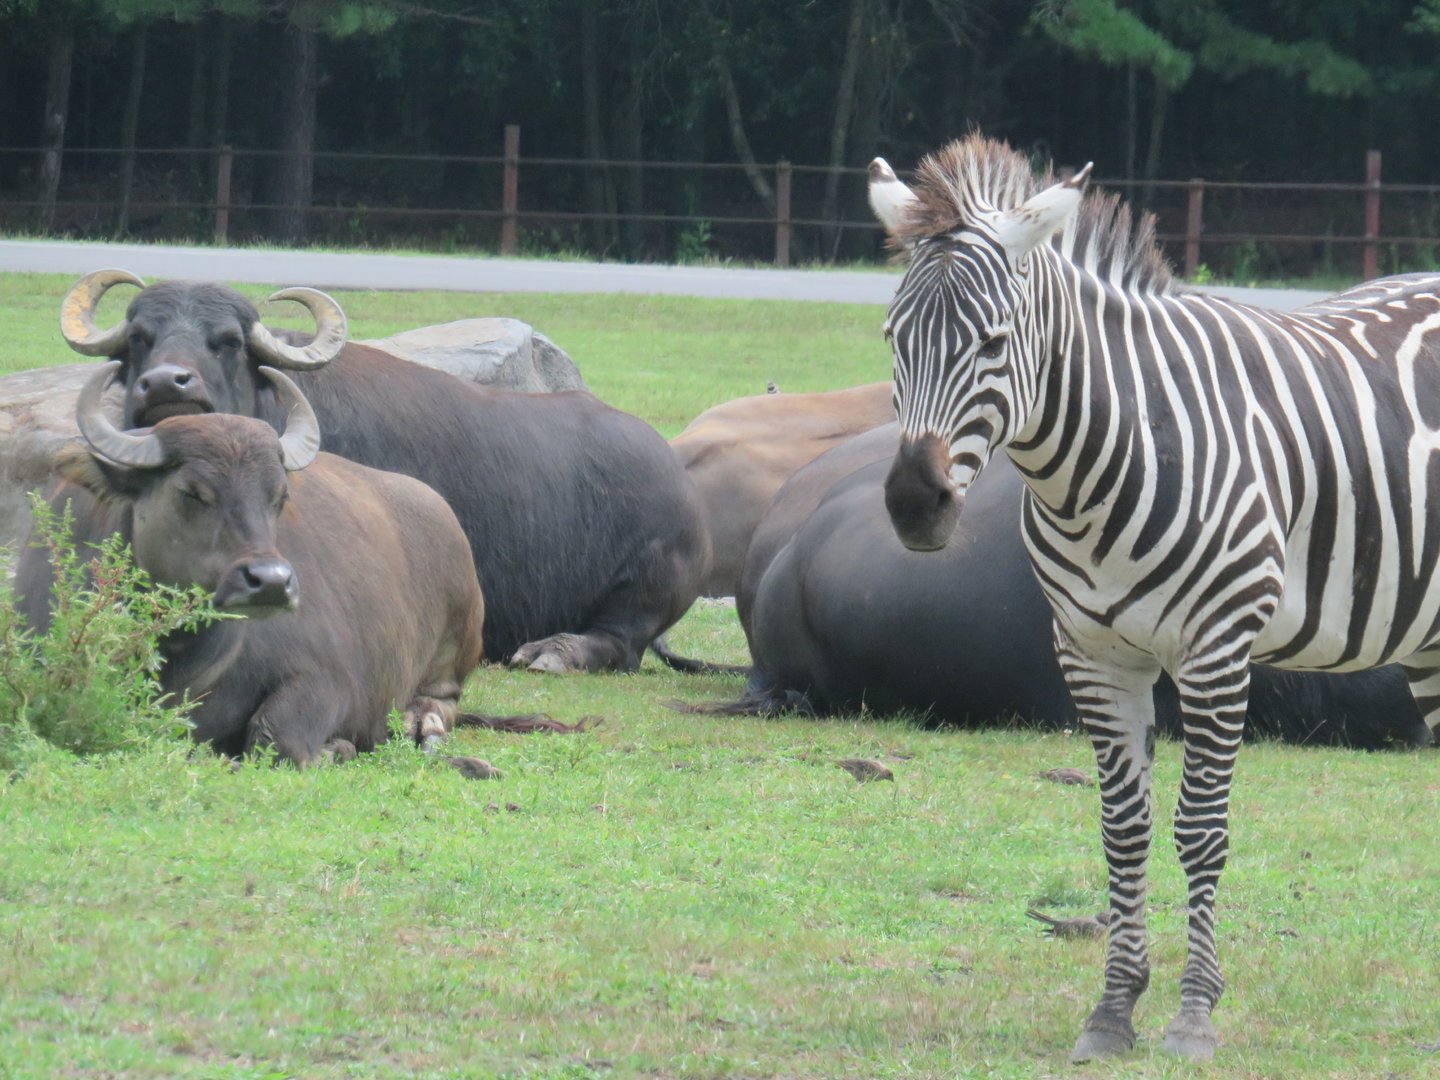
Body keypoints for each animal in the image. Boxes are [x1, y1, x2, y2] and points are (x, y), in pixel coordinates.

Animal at [20, 270, 710, 673]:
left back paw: (550, 652)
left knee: (618, 643)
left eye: (228, 340)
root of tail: (680, 484)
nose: (168, 383)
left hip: (644, 593)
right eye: (140, 336)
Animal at [58, 362, 485, 764]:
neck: (191, 657)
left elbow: (276, 737)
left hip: (454, 645)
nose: (272, 583)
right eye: (191, 492)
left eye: (278, 495)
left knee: (443, 697)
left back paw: (422, 723)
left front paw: (336, 747)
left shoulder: (332, 679)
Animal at [867, 135, 1440, 1063]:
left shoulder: (1215, 651)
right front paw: (1113, 1011)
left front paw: (1194, 1015)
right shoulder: (1094, 655)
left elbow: (1200, 830)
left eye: (993, 342)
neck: (1098, 462)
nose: (916, 506)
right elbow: (1123, 830)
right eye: (892, 339)